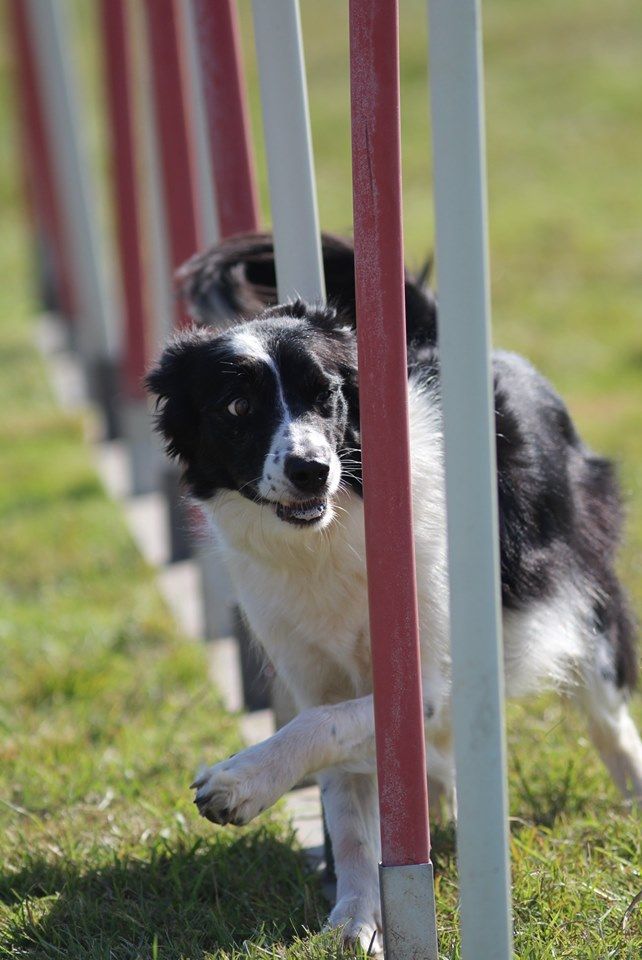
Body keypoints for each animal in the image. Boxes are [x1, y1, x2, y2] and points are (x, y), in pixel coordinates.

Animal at [145, 232, 640, 952]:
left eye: (327, 395)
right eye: (235, 407)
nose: (310, 469)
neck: (328, 534)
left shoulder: (424, 678)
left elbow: (324, 727)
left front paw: (236, 784)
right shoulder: (316, 672)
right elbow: (344, 793)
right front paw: (356, 918)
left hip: (574, 587)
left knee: (606, 709)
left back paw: (632, 794)